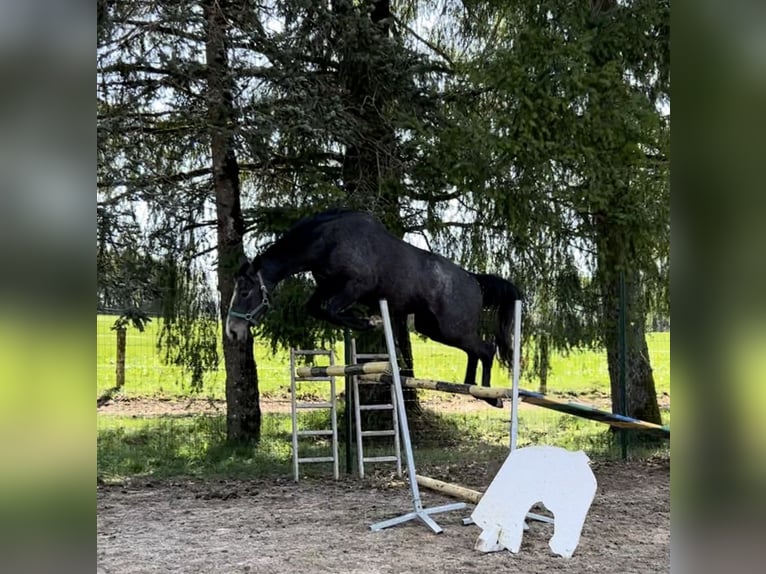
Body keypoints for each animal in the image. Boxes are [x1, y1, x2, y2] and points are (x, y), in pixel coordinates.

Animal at [226, 209, 520, 408]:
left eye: (244, 292)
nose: (232, 332)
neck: (325, 241)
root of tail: (473, 279)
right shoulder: (327, 287)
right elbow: (317, 309)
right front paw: (365, 320)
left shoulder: (356, 286)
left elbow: (330, 310)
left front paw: (369, 321)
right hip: (433, 328)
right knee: (475, 351)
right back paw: (470, 386)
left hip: (451, 328)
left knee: (486, 349)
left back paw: (489, 396)